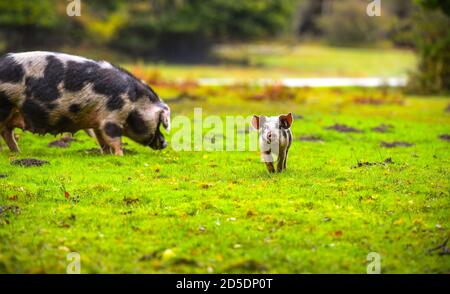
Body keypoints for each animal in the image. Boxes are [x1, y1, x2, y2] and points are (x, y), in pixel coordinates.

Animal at [0, 51, 171, 155]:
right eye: (159, 123)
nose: (165, 143)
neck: (134, 101)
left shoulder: (98, 122)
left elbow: (102, 139)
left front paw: (107, 155)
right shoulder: (113, 116)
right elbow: (115, 138)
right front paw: (120, 156)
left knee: (7, 132)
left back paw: (18, 152)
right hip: (5, 105)